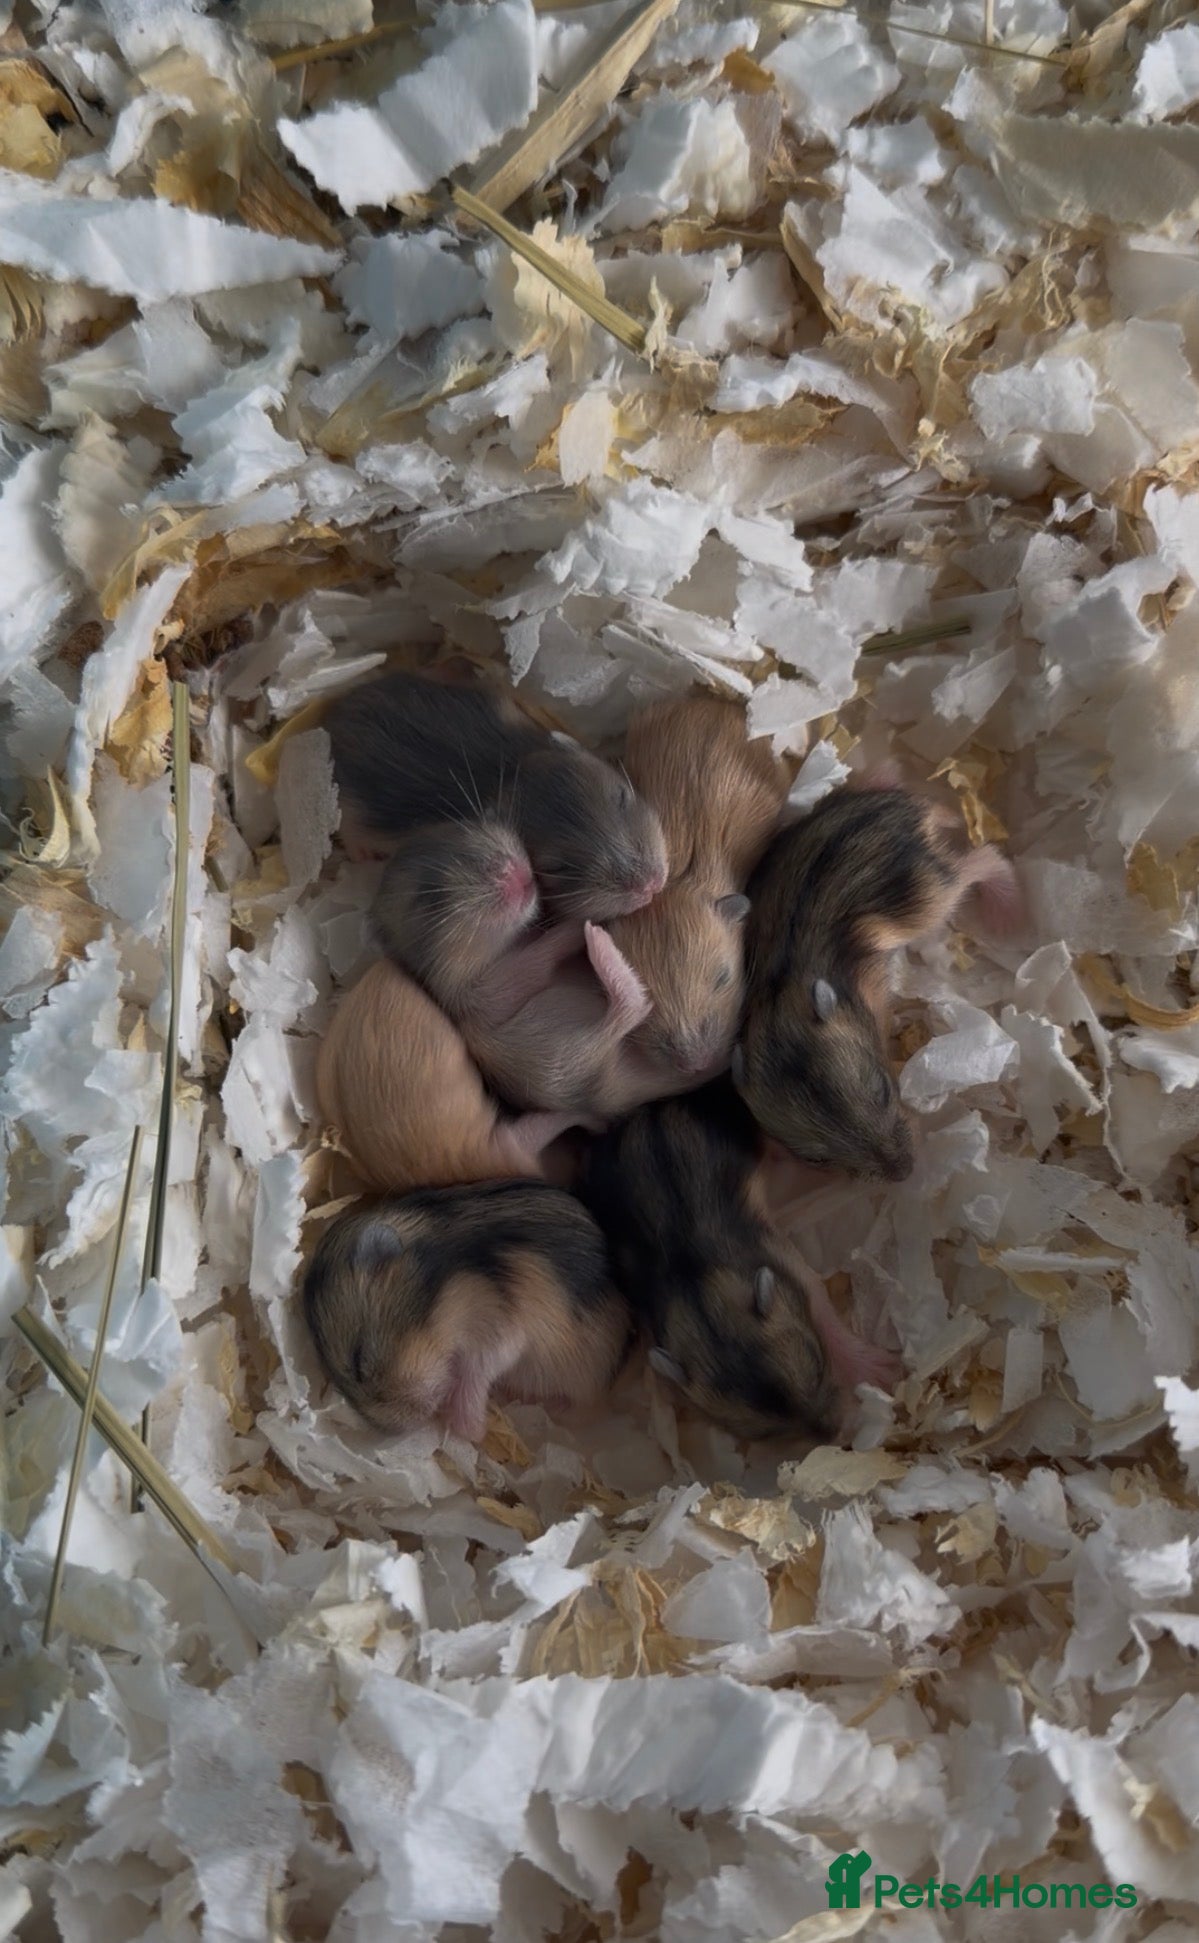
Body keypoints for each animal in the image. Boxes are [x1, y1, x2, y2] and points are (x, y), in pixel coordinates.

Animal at [303, 1182, 633, 1440]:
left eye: (359, 1361)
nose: (405, 1428)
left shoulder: (504, 1324)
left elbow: (477, 1367)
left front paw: (469, 1430)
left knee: (584, 1410)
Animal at [371, 820, 669, 1119]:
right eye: (429, 897)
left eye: (463, 829)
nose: (510, 869)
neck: (507, 945)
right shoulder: (482, 991)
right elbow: (538, 956)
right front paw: (577, 924)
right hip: (557, 1055)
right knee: (626, 1010)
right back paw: (597, 941)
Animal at [582, 1082, 895, 1442]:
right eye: (765, 1433)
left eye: (818, 1367)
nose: (836, 1435)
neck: (698, 1280)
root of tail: (647, 1108)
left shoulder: (790, 1264)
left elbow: (824, 1311)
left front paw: (881, 1370)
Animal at [735, 780, 1023, 1182]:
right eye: (816, 1159)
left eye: (885, 1090)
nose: (905, 1172)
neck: (779, 997)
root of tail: (909, 808)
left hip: (930, 895)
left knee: (983, 859)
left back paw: (1008, 916)